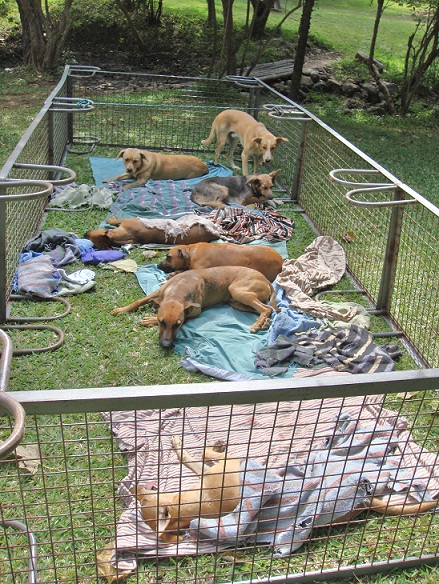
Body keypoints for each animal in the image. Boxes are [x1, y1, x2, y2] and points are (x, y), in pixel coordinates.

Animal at [111, 266, 280, 350]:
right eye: (161, 322)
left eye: (178, 325)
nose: (166, 346)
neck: (179, 290)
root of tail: (266, 280)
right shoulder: (158, 292)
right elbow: (139, 301)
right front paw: (122, 310)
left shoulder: (195, 311)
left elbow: (186, 316)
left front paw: (149, 320)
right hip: (234, 300)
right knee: (262, 309)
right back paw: (264, 322)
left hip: (237, 290)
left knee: (267, 308)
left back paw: (258, 323)